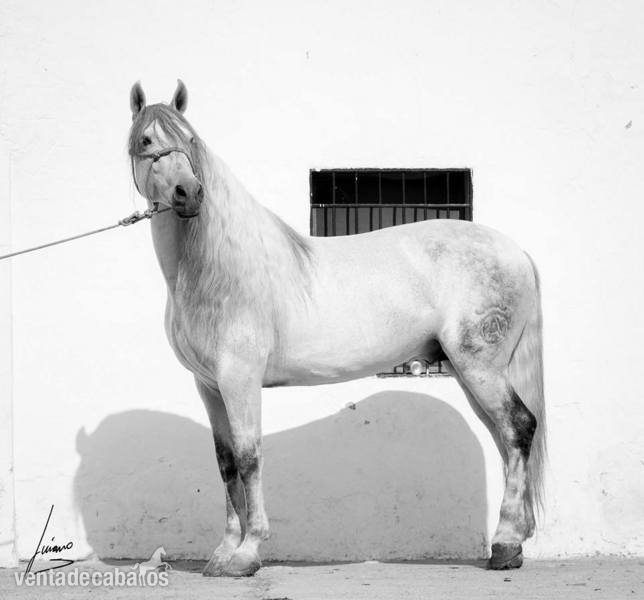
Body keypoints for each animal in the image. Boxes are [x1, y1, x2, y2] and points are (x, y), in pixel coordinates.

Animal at [127, 80, 545, 577]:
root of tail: (516, 251)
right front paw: (224, 552)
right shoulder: (209, 386)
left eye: (190, 140)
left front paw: (248, 553)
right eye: (146, 140)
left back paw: (504, 544)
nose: (189, 194)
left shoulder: (239, 379)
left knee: (519, 428)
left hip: (480, 366)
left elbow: (249, 457)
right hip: (470, 372)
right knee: (505, 437)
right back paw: (514, 543)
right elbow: (226, 462)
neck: (216, 270)